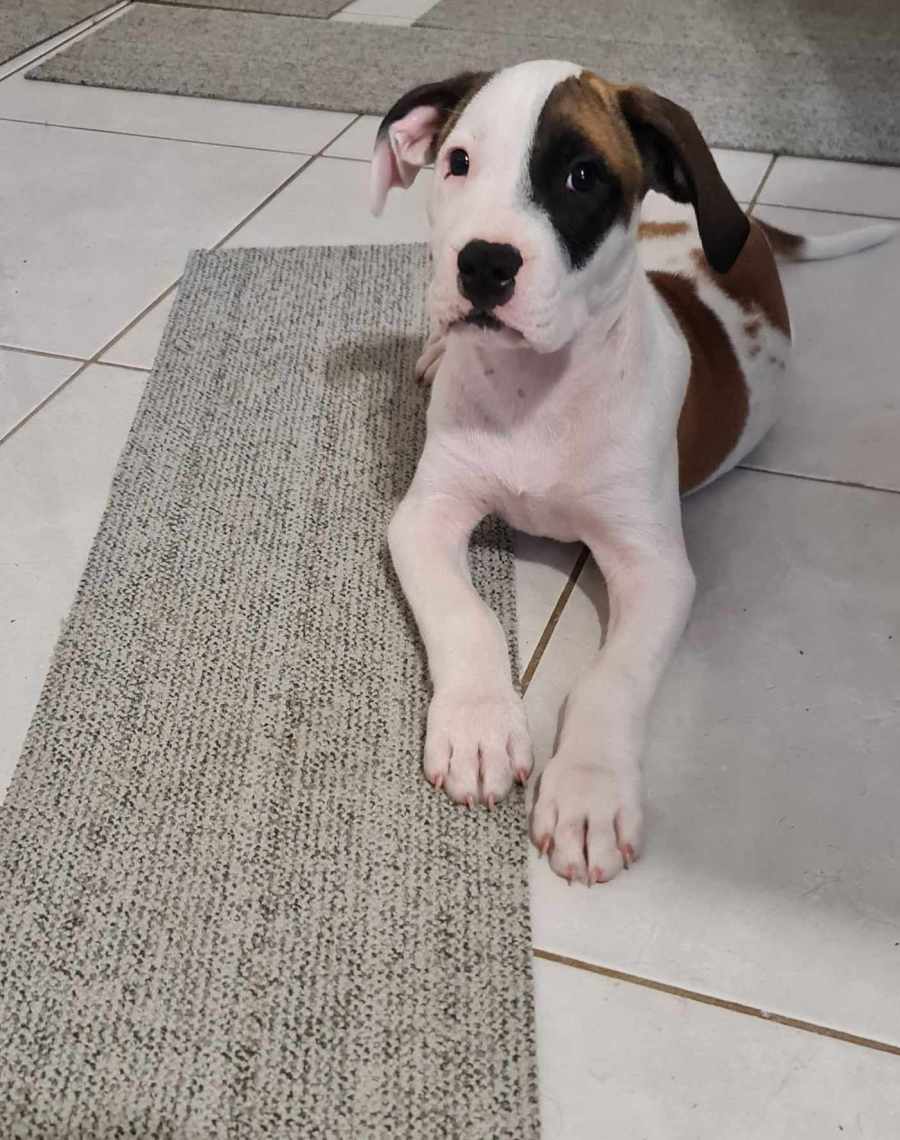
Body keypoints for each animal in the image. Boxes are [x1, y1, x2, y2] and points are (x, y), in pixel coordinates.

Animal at [369, 60, 895, 885]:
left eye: (583, 177)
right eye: (458, 162)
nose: (482, 264)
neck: (535, 391)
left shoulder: (655, 569)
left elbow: (610, 681)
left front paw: (587, 794)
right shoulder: (424, 516)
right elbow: (465, 618)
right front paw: (479, 725)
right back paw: (433, 351)